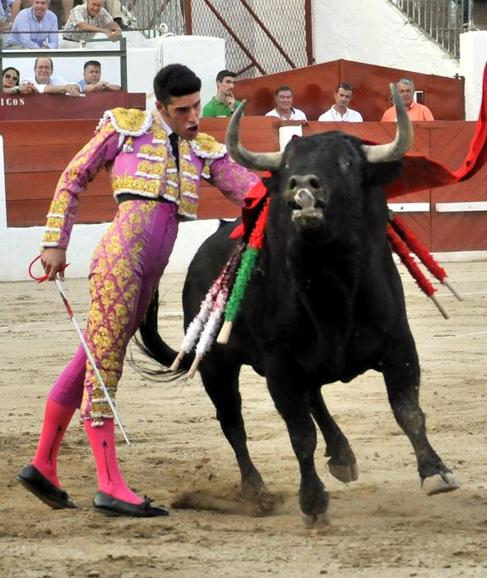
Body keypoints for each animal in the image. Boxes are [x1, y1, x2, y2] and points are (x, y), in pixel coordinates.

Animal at [139, 106, 460, 524]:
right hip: (216, 366)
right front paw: (312, 501)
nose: (302, 186)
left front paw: (436, 472)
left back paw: (342, 456)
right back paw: (257, 490)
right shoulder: (280, 366)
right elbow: (299, 433)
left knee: (314, 399)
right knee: (233, 423)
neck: (331, 286)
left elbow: (408, 411)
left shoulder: (398, 344)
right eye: (289, 163)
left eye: (346, 162)